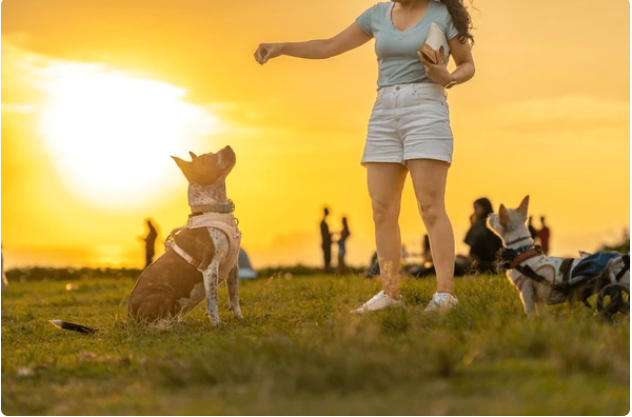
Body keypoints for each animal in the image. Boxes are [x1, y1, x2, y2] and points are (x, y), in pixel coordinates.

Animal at [130, 146, 243, 324]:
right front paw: (217, 323)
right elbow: (213, 300)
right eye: (207, 159)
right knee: (152, 321)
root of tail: (129, 313)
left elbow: (234, 295)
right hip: (162, 296)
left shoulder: (233, 267)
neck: (215, 209)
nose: (228, 147)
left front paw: (239, 317)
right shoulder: (210, 267)